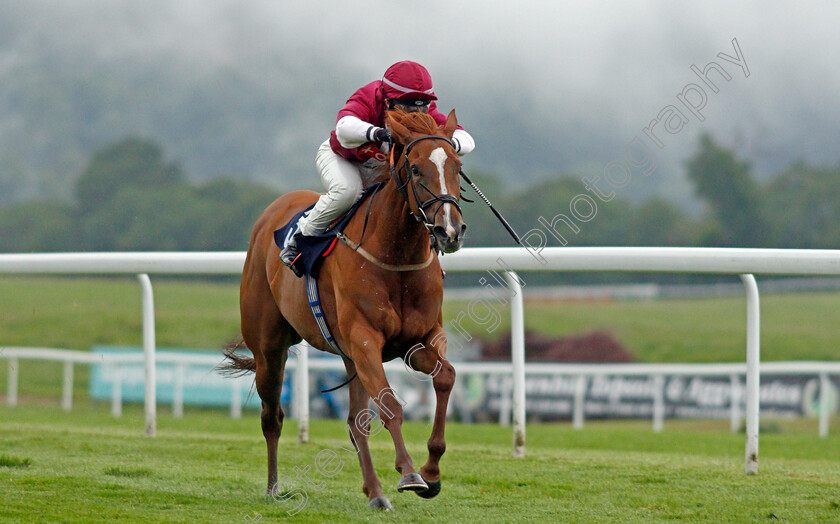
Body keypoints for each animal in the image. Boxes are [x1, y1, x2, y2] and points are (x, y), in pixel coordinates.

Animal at [223, 109, 470, 508]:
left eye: (457, 167)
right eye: (416, 169)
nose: (450, 231)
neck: (396, 257)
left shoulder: (418, 340)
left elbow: (445, 377)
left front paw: (431, 471)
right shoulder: (365, 339)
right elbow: (391, 405)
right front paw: (409, 472)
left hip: (348, 356)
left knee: (356, 422)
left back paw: (375, 493)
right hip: (269, 347)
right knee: (272, 416)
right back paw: (274, 487)